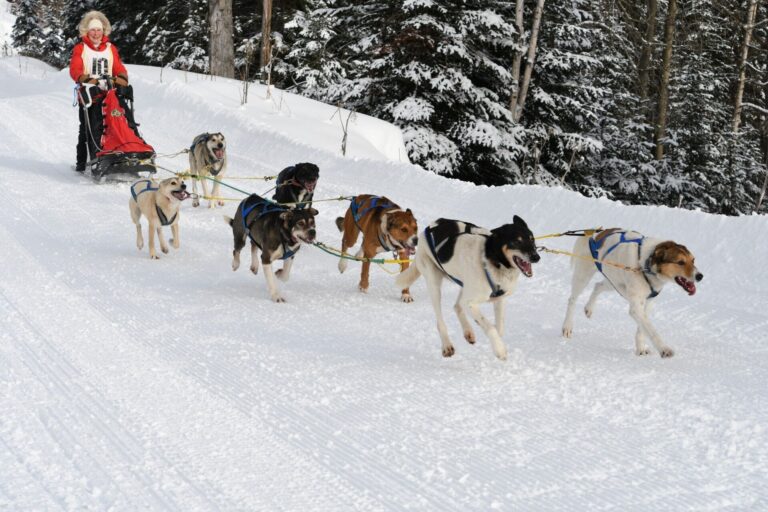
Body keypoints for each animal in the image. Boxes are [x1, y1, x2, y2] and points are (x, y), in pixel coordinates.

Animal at [396, 216, 540, 360]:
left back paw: (468, 331)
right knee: (441, 321)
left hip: (464, 286)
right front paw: (500, 349)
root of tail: (432, 226)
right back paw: (447, 345)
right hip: (434, 284)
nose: (536, 257)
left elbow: (499, 327)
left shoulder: (499, 299)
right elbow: (490, 327)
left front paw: (496, 340)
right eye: (516, 241)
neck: (490, 259)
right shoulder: (470, 303)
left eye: (532, 239)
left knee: (457, 306)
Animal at [560, 230, 704, 358]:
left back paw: (589, 308)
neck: (645, 266)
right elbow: (651, 329)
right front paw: (664, 349)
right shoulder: (636, 307)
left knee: (598, 286)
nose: (700, 276)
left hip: (613, 282)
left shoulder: (647, 303)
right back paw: (567, 326)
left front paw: (640, 348)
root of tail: (594, 233)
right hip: (583, 276)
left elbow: (642, 329)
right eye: (680, 262)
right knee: (572, 299)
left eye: (693, 260)